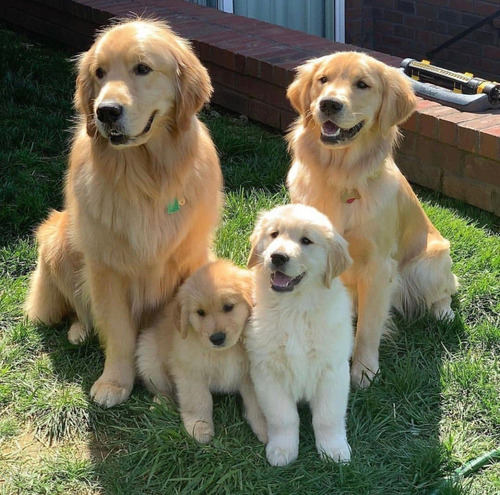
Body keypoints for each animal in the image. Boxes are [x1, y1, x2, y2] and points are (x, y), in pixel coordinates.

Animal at [24, 18, 224, 406]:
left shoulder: (185, 264)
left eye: (142, 68)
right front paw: (115, 382)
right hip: (57, 241)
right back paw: (78, 332)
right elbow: (116, 330)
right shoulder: (105, 268)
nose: (105, 111)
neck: (145, 177)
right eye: (99, 73)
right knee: (80, 309)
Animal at [135, 260, 268, 446]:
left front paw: (265, 427)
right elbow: (198, 400)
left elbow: (257, 403)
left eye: (228, 307)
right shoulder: (190, 373)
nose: (217, 338)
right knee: (161, 388)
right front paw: (199, 427)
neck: (225, 352)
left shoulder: (251, 374)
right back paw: (160, 404)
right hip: (148, 356)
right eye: (200, 312)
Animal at [245, 205, 352, 468]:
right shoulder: (267, 373)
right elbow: (283, 417)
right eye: (274, 234)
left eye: (306, 241)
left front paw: (334, 450)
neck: (294, 309)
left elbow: (328, 417)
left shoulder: (333, 371)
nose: (277, 257)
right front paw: (283, 449)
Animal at [286, 52, 458, 390]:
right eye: (323, 80)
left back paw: (443, 312)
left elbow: (368, 327)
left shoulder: (378, 267)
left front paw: (364, 371)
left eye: (362, 85)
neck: (340, 177)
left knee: (445, 290)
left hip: (430, 262)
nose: (329, 104)